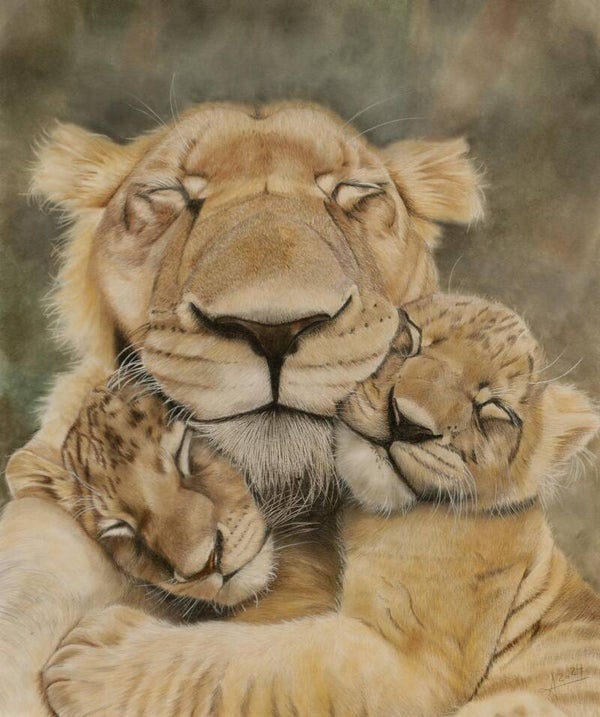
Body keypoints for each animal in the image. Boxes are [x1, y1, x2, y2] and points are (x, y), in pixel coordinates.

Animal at [42, 293, 600, 716]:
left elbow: (249, 664)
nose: (407, 420)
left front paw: (92, 662)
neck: (359, 514)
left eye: (494, 410)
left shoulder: (408, 666)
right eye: (411, 341)